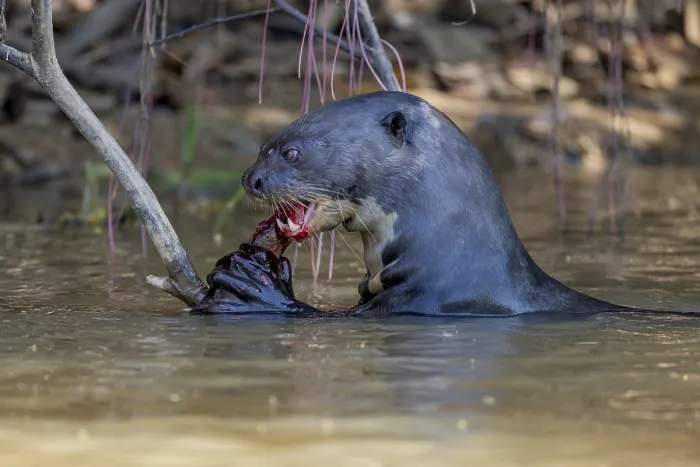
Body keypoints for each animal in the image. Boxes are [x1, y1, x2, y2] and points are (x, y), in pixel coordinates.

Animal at [194, 91, 693, 318]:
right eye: (264, 145)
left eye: (292, 152)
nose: (250, 178)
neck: (454, 257)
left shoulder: (426, 300)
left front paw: (251, 286)